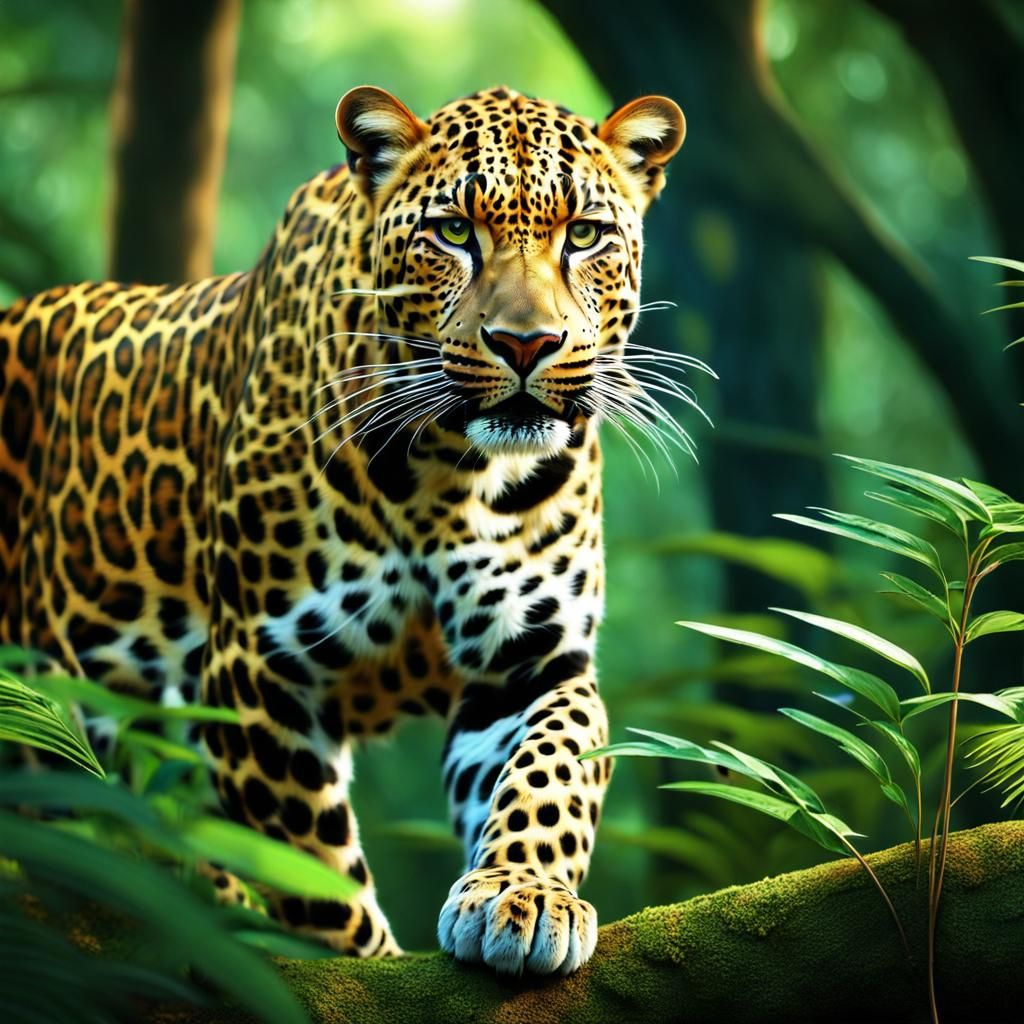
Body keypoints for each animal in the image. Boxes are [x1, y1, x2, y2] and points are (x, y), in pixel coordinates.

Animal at [0, 84, 695, 975]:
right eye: (455, 232)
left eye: (584, 235)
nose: (527, 343)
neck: (453, 473)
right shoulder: (258, 673)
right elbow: (315, 884)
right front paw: (354, 962)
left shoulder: (533, 664)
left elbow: (548, 778)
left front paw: (523, 896)